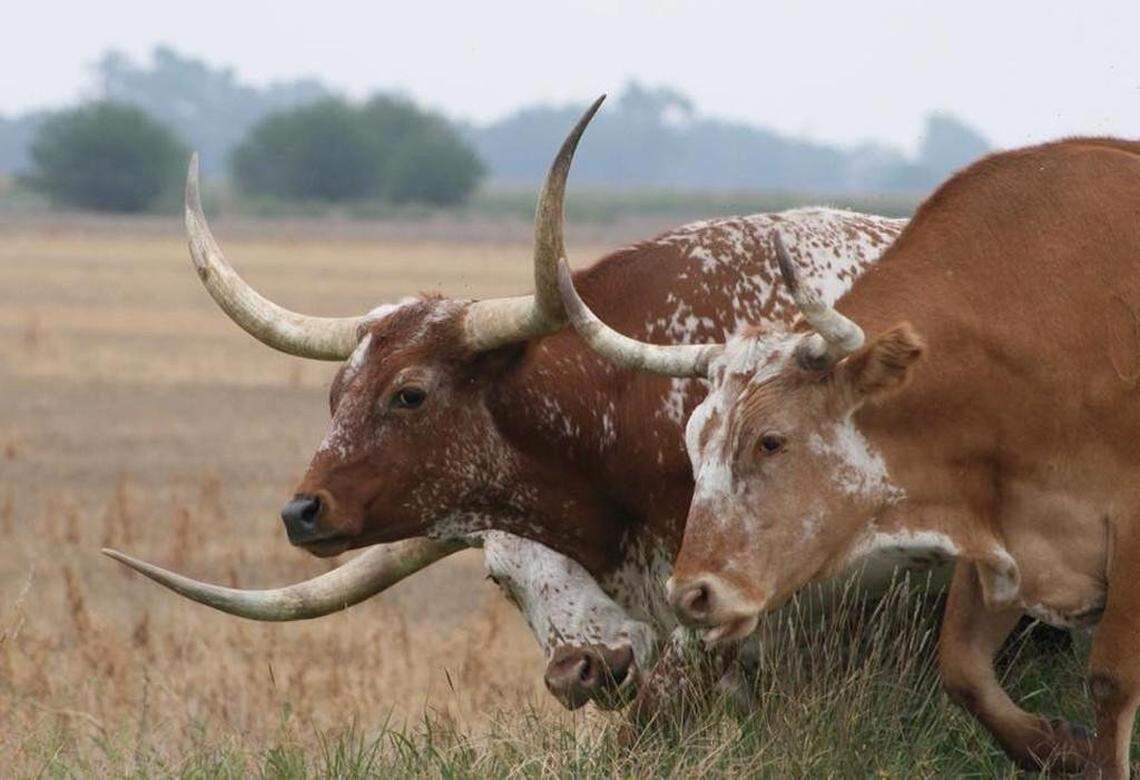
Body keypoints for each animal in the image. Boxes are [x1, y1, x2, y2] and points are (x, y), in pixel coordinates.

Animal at [554, 137, 1140, 775]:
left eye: (770, 440)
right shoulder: (999, 539)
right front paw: (1062, 748)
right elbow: (963, 670)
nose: (691, 596)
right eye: (693, 442)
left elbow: (1109, 681)